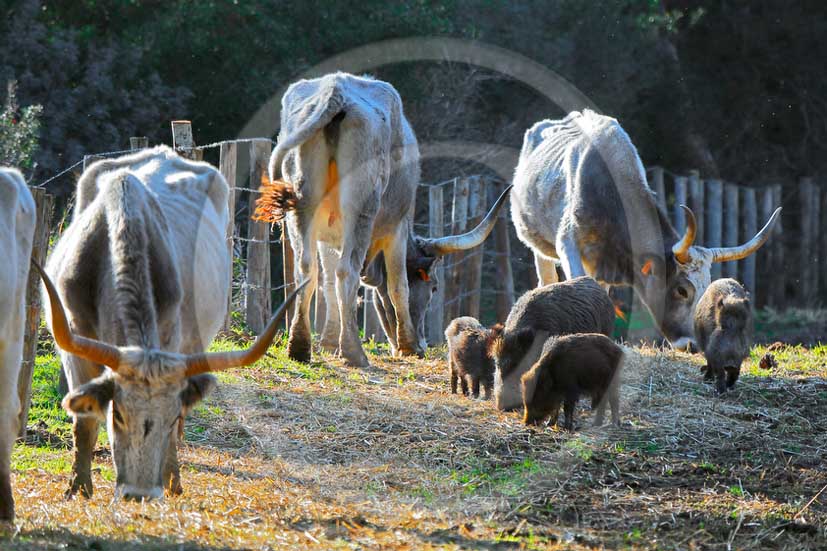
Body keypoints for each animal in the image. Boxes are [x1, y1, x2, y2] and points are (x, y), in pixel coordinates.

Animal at [40, 149, 302, 502]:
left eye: (170, 416)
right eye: (118, 415)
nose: (139, 494)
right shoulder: (74, 347)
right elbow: (84, 422)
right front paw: (78, 487)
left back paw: (173, 478)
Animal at [254, 72, 512, 366]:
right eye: (434, 287)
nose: (424, 341)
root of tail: (336, 90)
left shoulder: (327, 238)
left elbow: (327, 282)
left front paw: (329, 342)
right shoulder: (396, 230)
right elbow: (398, 285)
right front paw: (410, 345)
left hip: (302, 208)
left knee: (307, 270)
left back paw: (299, 346)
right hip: (361, 208)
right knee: (347, 271)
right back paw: (353, 351)